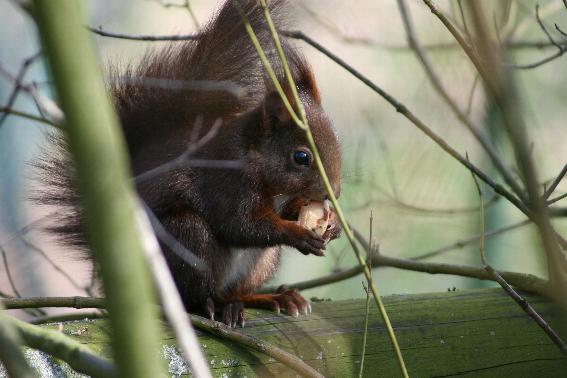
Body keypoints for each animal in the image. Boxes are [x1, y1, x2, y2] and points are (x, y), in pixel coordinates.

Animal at [37, 0, 344, 328]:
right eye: (301, 157)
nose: (334, 193)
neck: (256, 158)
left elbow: (282, 212)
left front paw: (331, 224)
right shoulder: (227, 182)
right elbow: (241, 224)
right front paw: (297, 233)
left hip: (263, 261)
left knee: (237, 289)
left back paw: (269, 297)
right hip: (187, 238)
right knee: (196, 294)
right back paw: (217, 305)